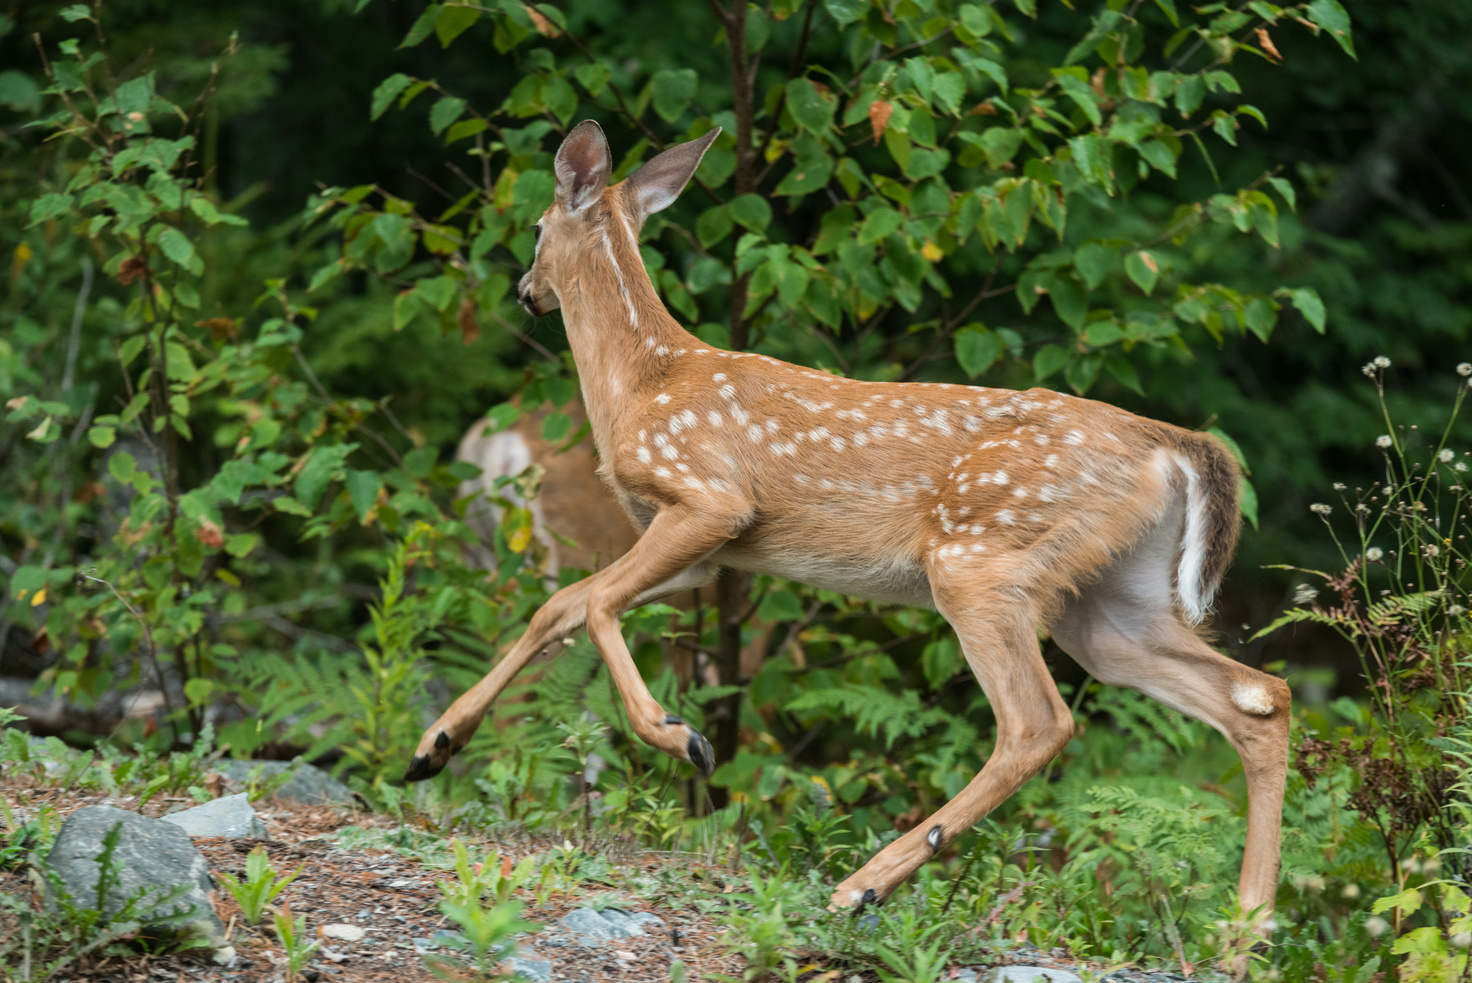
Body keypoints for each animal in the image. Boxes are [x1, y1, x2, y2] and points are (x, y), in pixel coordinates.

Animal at [418, 120, 1289, 965]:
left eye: (536, 228)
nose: (526, 292)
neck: (643, 381)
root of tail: (1173, 443)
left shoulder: (708, 500)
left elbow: (593, 603)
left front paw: (681, 735)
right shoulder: (702, 554)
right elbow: (560, 607)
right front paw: (436, 744)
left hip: (980, 560)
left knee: (1038, 723)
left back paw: (863, 883)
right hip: (1107, 600)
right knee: (1259, 696)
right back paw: (1242, 936)